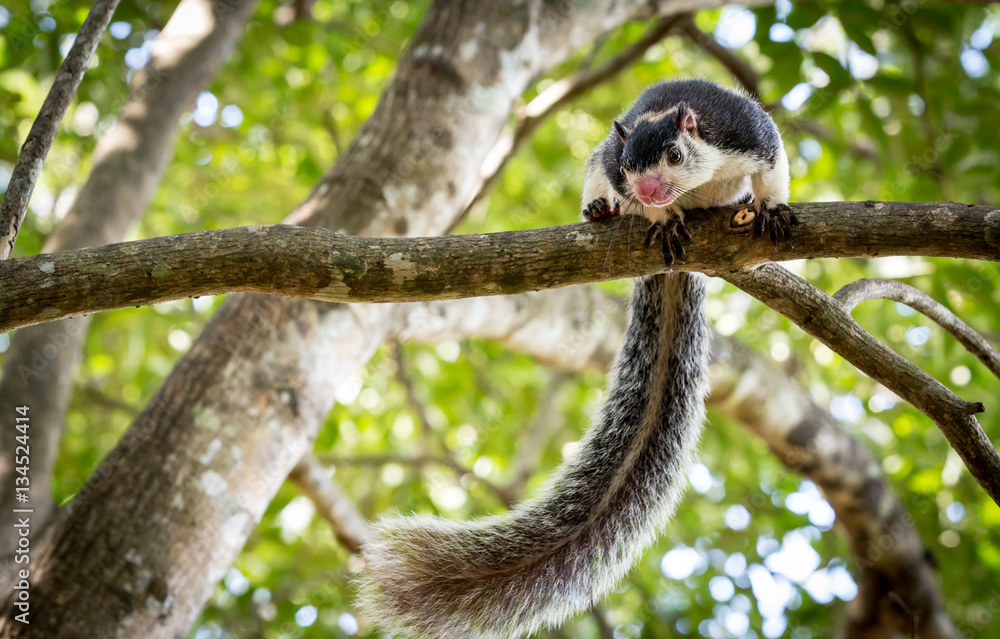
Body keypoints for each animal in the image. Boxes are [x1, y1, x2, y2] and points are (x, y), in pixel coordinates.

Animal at [359, 79, 795, 639]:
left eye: (676, 155)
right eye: (630, 167)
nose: (648, 192)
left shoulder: (747, 132)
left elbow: (774, 166)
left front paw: (771, 209)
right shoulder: (611, 160)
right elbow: (609, 173)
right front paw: (658, 216)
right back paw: (605, 210)